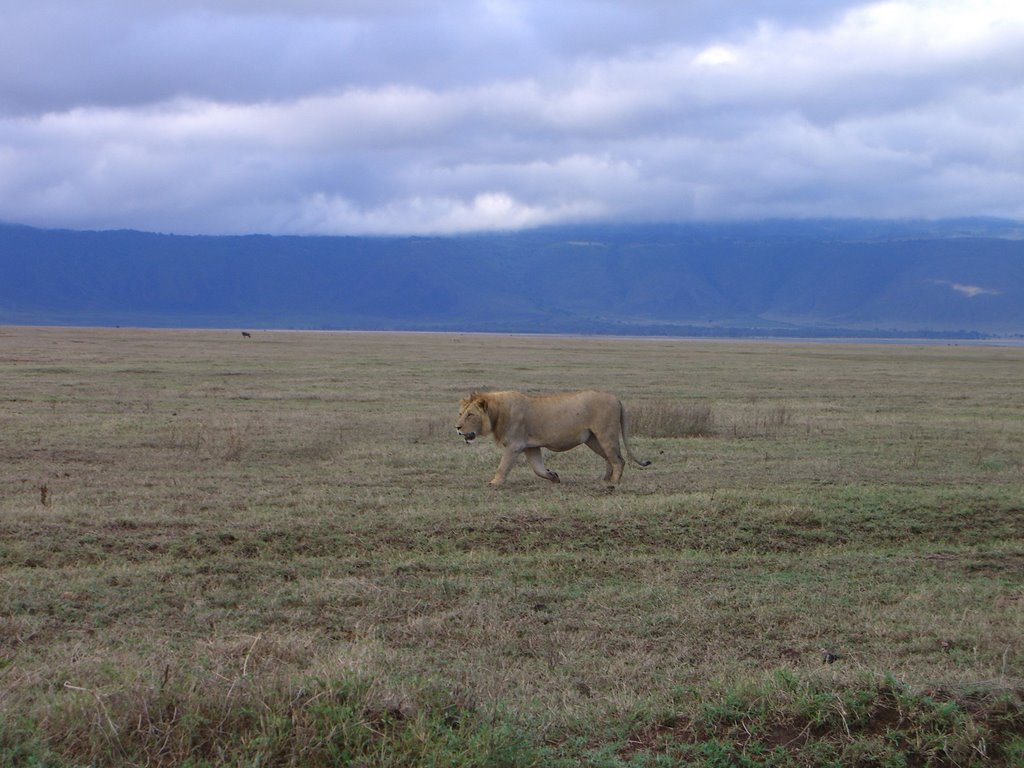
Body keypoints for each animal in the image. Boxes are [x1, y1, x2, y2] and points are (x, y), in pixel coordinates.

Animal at [454, 391, 647, 487]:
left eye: (470, 415)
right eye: (460, 413)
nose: (457, 428)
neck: (497, 413)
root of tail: (617, 399)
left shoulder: (515, 445)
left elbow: (503, 466)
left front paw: (495, 483)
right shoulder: (530, 447)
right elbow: (538, 468)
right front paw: (554, 476)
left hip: (606, 434)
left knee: (618, 459)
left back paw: (613, 482)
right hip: (592, 439)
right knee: (610, 458)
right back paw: (606, 479)